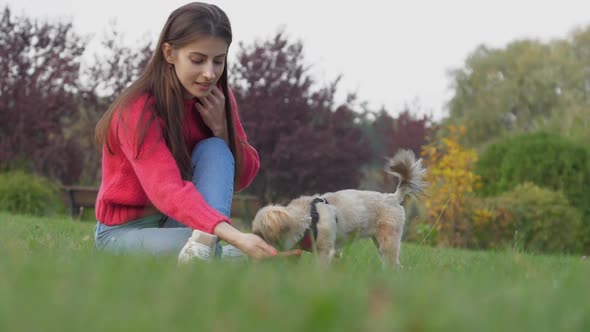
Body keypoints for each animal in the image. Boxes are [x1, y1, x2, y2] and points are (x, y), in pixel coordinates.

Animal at [252, 149, 428, 266]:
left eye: (260, 234)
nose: (254, 240)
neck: (308, 218)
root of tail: (393, 197)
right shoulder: (334, 252)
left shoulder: (325, 249)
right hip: (378, 241)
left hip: (388, 240)